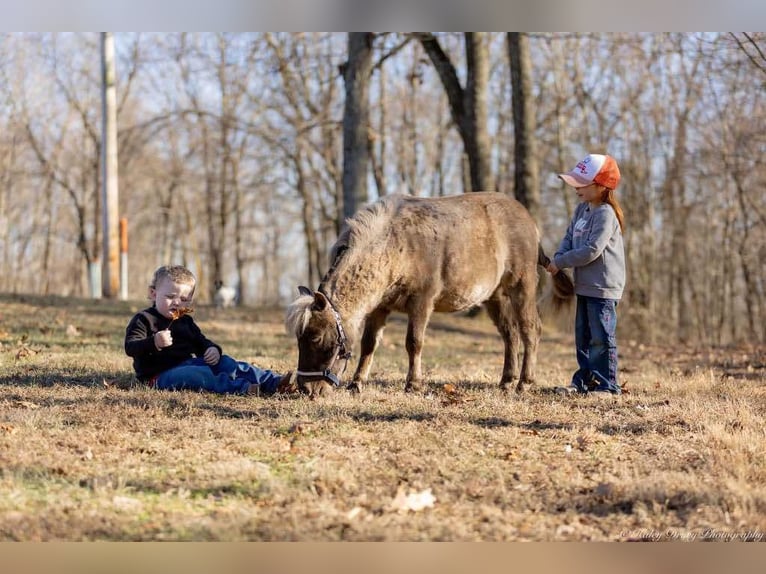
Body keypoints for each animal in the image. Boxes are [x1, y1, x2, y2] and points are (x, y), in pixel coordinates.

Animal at [284, 191, 572, 398]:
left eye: (316, 337)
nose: (306, 389)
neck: (395, 244)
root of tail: (529, 221)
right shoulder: (380, 307)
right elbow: (369, 344)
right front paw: (357, 383)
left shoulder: (421, 302)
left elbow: (414, 342)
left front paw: (413, 384)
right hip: (496, 297)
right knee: (510, 335)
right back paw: (506, 381)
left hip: (522, 288)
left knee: (530, 330)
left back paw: (524, 382)